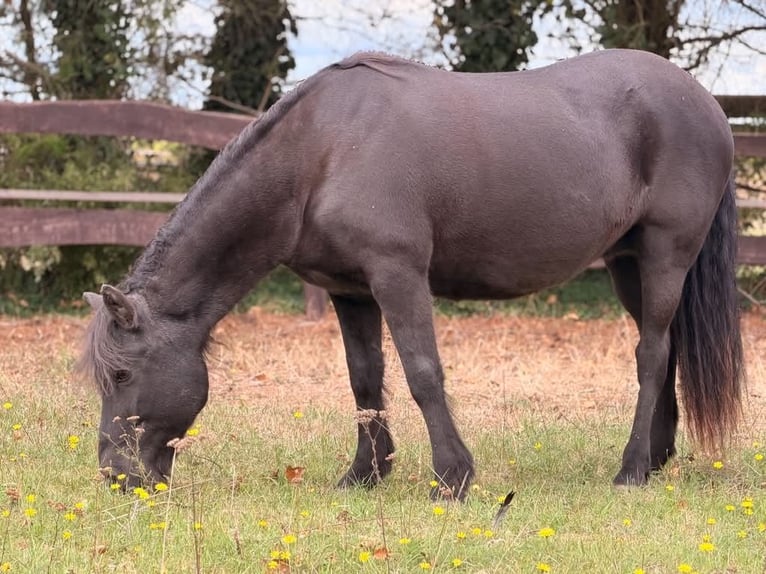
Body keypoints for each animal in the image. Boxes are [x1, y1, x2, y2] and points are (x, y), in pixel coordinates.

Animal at [79, 49, 743, 500]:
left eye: (122, 374)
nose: (115, 475)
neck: (320, 152)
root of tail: (708, 103)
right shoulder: (348, 290)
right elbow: (365, 381)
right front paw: (364, 473)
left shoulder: (398, 275)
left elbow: (423, 373)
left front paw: (452, 478)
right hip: (629, 266)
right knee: (666, 349)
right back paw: (656, 458)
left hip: (665, 255)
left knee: (651, 355)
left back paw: (630, 470)